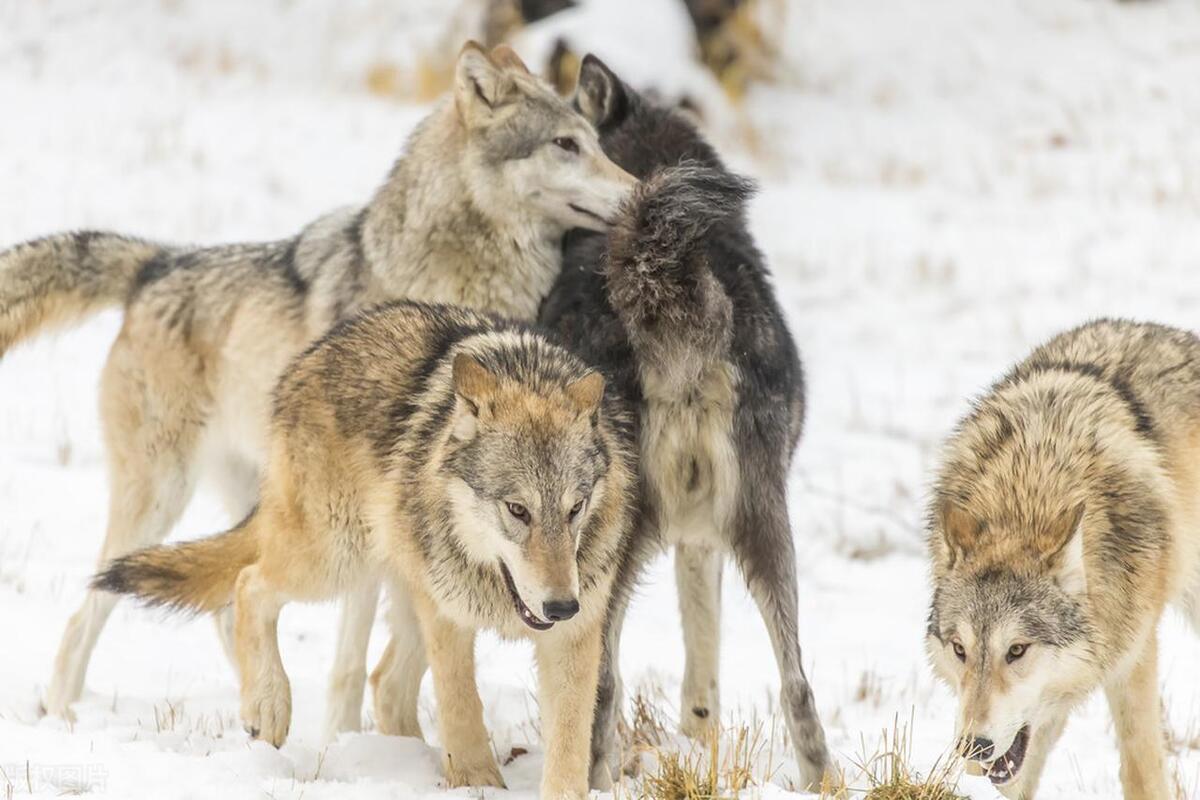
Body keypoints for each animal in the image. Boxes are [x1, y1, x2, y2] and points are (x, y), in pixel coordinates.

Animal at [0, 45, 638, 734]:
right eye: (565, 144)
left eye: (595, 141)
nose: (640, 192)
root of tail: (156, 265)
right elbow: (353, 658)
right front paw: (346, 736)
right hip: (164, 497)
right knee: (93, 610)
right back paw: (66, 713)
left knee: (223, 597)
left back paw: (257, 704)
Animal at [93, 299, 638, 800]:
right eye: (518, 510)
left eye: (575, 508)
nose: (561, 605)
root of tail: (309, 359)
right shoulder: (449, 618)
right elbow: (462, 710)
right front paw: (476, 784)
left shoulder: (575, 638)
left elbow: (568, 748)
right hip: (335, 559)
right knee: (251, 583)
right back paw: (268, 706)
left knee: (386, 683)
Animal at [926, 321, 1200, 800]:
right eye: (960, 649)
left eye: (1017, 650)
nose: (973, 746)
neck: (1025, 495)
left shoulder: (1134, 653)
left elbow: (1142, 770)